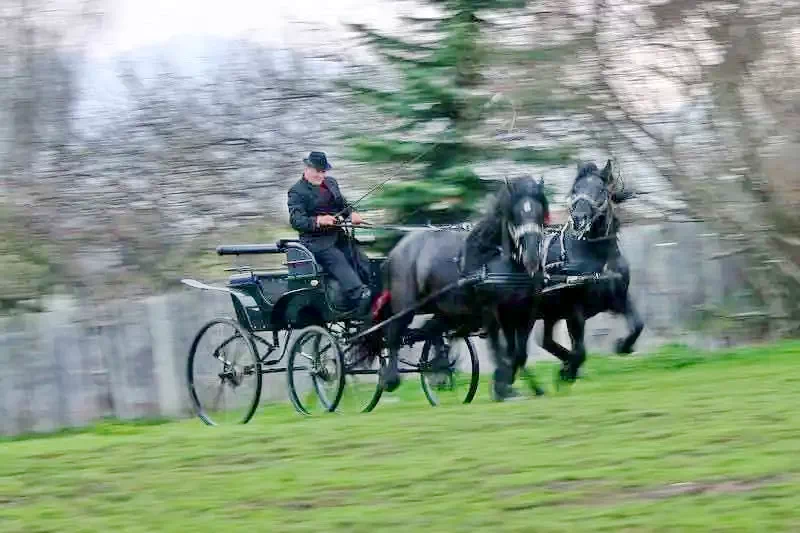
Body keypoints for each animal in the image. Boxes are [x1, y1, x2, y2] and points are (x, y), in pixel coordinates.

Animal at [368, 176, 552, 400]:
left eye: (540, 211)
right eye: (514, 214)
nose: (532, 258)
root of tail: (396, 251)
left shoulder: (525, 312)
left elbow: (518, 353)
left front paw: (514, 383)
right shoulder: (493, 312)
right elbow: (499, 349)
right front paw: (502, 385)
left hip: (446, 309)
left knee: (431, 331)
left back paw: (438, 369)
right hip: (406, 305)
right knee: (394, 334)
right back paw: (391, 379)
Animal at [520, 160, 644, 380]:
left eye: (601, 190)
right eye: (575, 190)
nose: (579, 218)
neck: (597, 256)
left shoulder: (618, 298)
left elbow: (637, 325)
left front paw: (623, 346)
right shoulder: (574, 311)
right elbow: (580, 351)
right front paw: (569, 370)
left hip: (550, 313)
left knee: (545, 340)